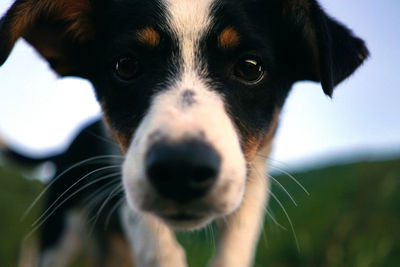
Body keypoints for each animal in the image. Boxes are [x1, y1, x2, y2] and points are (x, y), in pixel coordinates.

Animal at [0, 1, 368, 266]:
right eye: (125, 65)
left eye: (251, 68)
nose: (181, 168)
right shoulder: (126, 169)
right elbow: (155, 242)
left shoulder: (252, 176)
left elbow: (235, 244)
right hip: (59, 236)